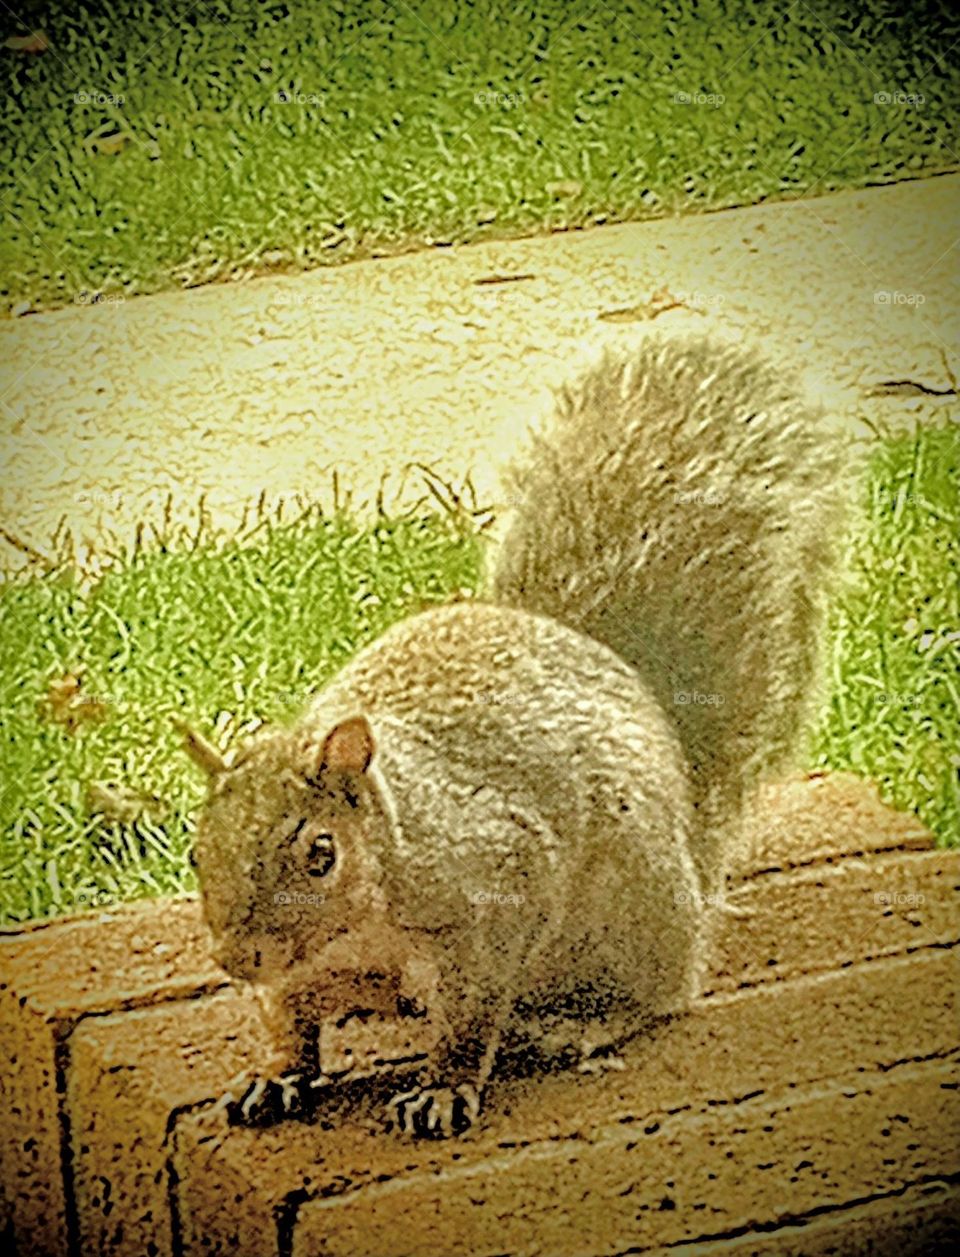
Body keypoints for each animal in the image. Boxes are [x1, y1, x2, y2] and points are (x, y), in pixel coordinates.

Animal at [187, 335, 844, 1139]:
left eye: (321, 855)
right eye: (195, 852)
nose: (238, 957)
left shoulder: (496, 896)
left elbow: (471, 1019)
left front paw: (443, 1088)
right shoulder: (297, 980)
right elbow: (289, 1026)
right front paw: (274, 1075)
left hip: (630, 912)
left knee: (661, 992)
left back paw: (581, 1023)